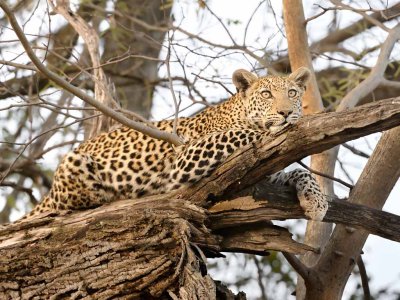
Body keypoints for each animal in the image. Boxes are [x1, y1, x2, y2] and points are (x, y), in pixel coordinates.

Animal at [22, 68, 328, 223]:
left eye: (292, 93)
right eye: (266, 94)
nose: (286, 112)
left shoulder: (266, 172)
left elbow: (300, 171)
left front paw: (316, 200)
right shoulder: (185, 160)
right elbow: (239, 133)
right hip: (75, 162)